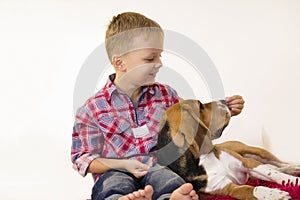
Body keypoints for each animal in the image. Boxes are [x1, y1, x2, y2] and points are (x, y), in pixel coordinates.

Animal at [157, 99, 300, 200]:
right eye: (200, 106)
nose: (224, 101)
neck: (203, 158)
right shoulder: (227, 188)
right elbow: (250, 189)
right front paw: (273, 194)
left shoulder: (247, 163)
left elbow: (275, 174)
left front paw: (294, 181)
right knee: (275, 168)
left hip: (257, 152)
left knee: (279, 165)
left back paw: (294, 168)